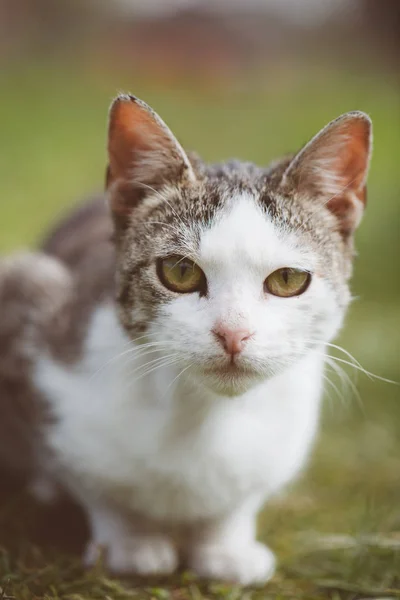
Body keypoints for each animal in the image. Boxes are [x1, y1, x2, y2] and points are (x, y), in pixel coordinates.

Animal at [0, 95, 372, 584]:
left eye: (288, 280)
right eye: (179, 271)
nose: (233, 332)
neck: (204, 417)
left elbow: (240, 497)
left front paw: (225, 545)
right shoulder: (29, 303)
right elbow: (91, 479)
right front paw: (129, 542)